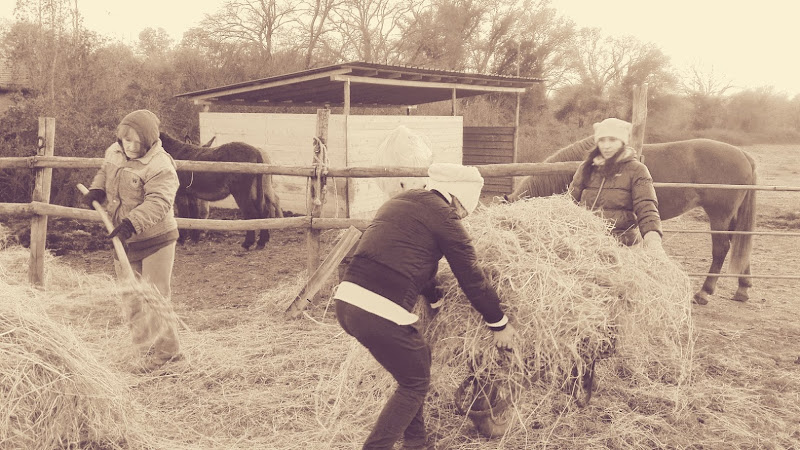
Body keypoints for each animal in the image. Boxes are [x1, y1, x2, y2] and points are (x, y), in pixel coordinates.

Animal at [510, 136, 760, 306]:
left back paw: (704, 293)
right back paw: (743, 289)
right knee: (739, 244)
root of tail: (744, 155)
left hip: (719, 215)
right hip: (731, 216)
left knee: (721, 248)